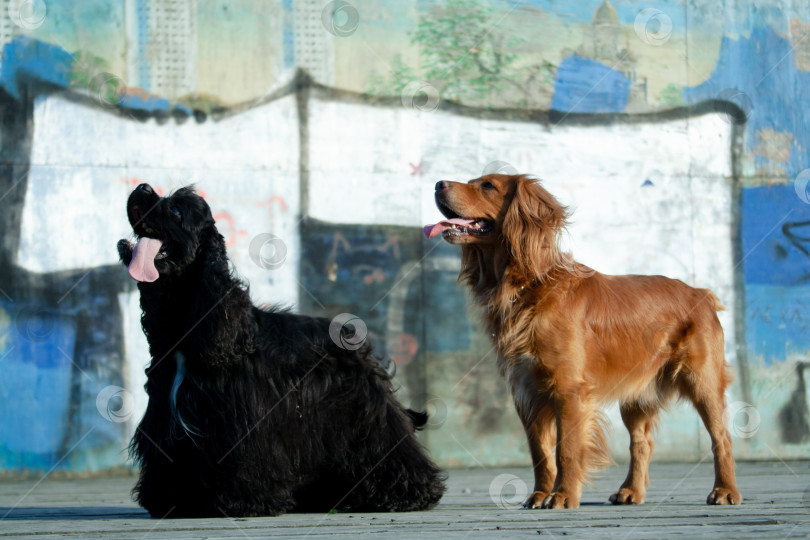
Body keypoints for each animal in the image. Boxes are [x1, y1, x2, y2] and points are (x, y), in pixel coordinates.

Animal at [117, 184, 446, 516]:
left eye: (174, 209)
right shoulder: (166, 417)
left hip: (367, 413)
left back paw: (408, 493)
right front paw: (170, 500)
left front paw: (243, 501)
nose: (142, 187)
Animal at [426, 175, 740, 508]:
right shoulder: (528, 392)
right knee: (642, 443)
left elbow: (566, 450)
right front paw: (540, 494)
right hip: (637, 395)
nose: (438, 183)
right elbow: (540, 453)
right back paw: (631, 491)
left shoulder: (569, 390)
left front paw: (562, 495)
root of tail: (701, 293)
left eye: (487, 186)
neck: (528, 285)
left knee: (722, 438)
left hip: (703, 382)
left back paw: (726, 490)